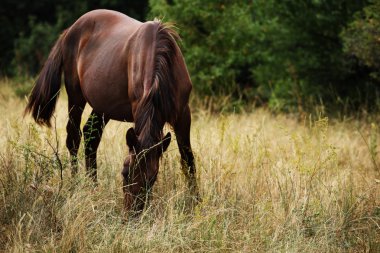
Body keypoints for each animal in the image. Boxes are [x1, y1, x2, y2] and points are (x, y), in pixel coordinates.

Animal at [24, 9, 199, 213]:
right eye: (125, 173)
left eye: (152, 178)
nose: (132, 213)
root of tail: (70, 30)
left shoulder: (183, 115)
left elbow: (188, 158)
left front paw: (195, 202)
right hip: (75, 96)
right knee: (73, 138)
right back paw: (75, 185)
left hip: (103, 107)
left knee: (91, 136)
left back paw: (93, 187)